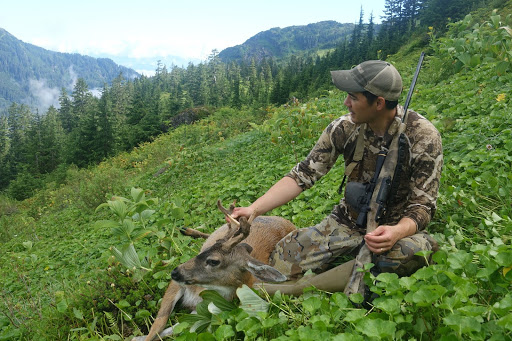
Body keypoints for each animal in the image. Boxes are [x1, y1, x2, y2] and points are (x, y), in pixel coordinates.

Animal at [133, 199, 296, 340]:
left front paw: (137, 337)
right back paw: (186, 231)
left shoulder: (207, 310)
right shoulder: (176, 285)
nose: (175, 272)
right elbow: (159, 323)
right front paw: (140, 337)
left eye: (213, 261)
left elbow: (174, 328)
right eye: (205, 252)